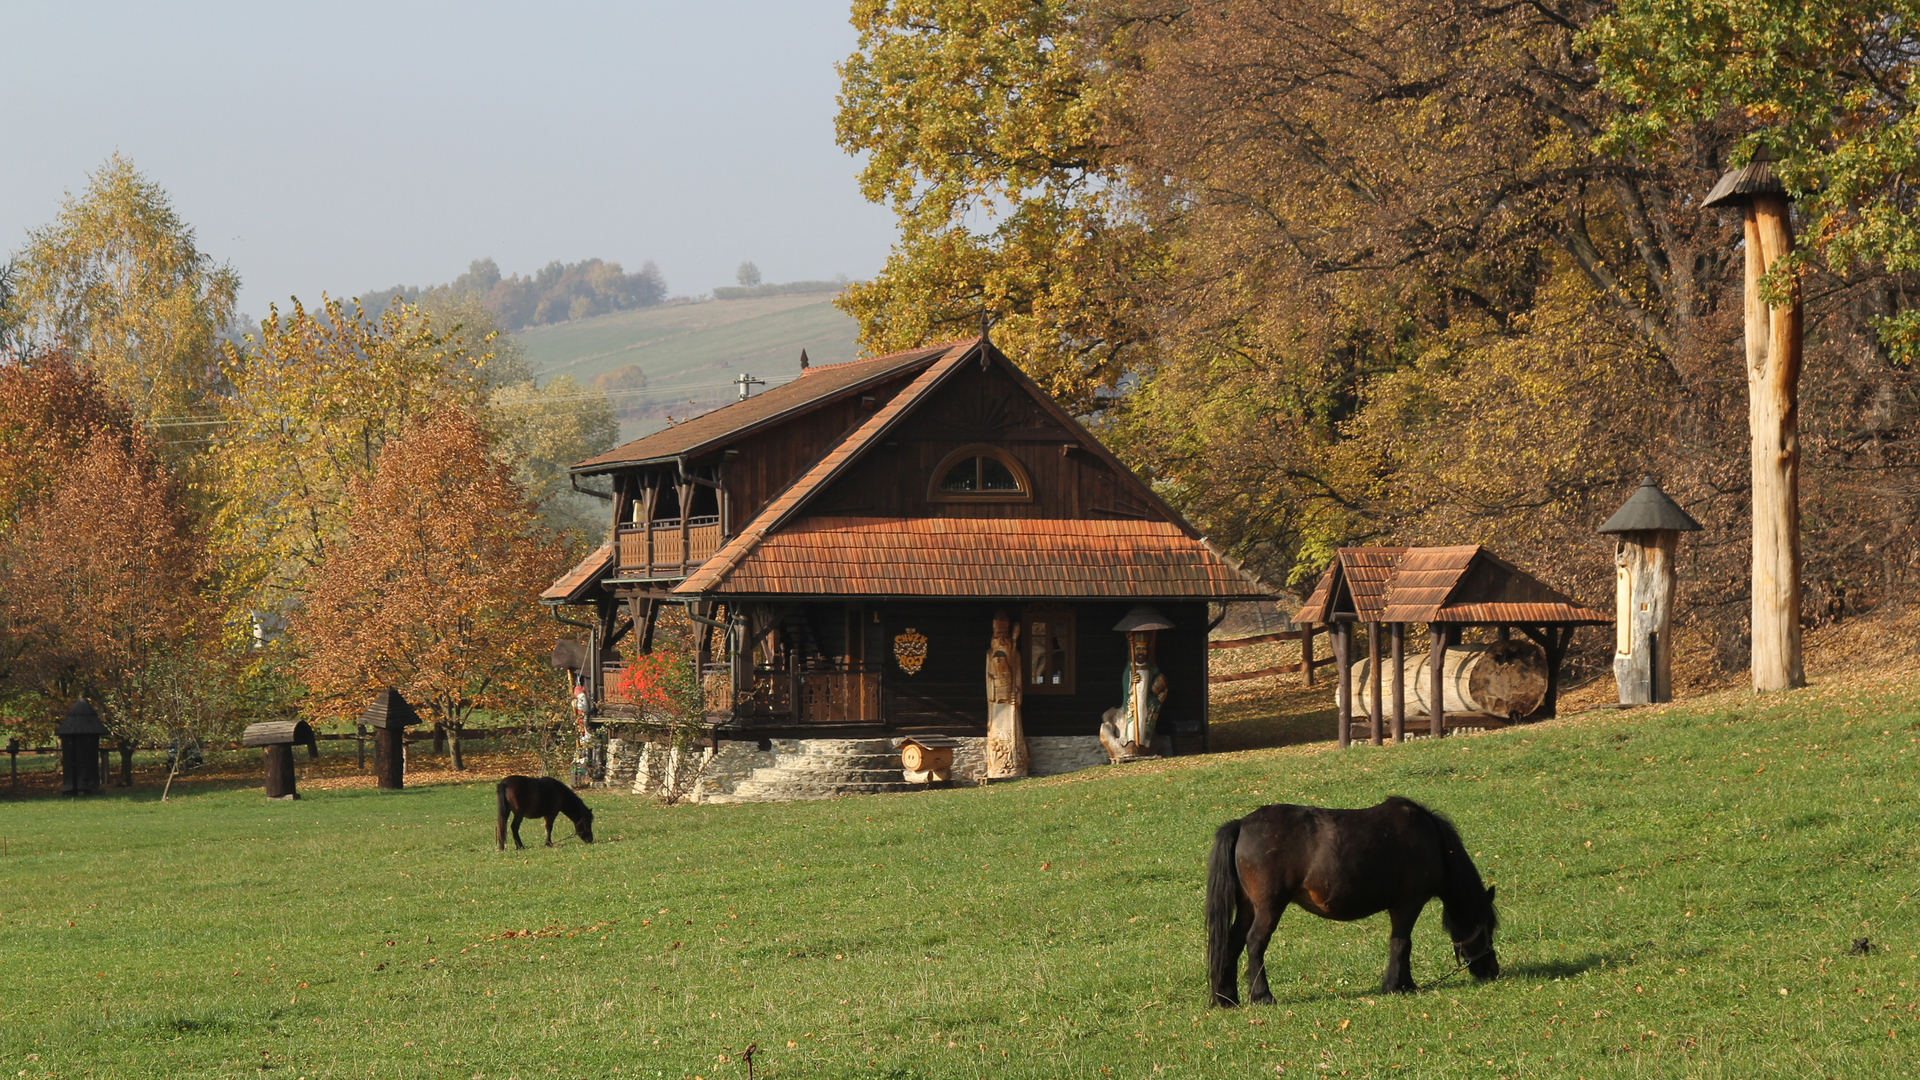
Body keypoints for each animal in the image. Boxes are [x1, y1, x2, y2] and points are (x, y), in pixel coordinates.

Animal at [1198, 791, 1497, 999]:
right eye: (1487, 927)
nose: (1491, 971)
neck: (1433, 840)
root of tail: (1241, 824)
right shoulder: (1408, 903)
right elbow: (1402, 943)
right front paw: (1396, 985)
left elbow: (1400, 943)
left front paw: (1405, 984)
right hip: (1268, 907)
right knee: (1255, 943)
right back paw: (1262, 995)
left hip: (1248, 906)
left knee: (1233, 942)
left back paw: (1227, 998)